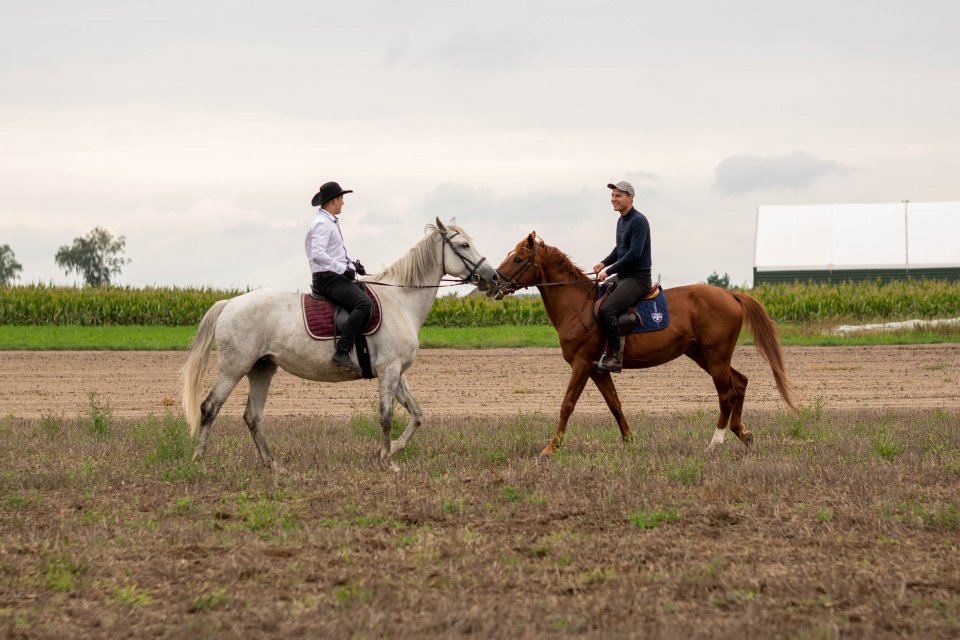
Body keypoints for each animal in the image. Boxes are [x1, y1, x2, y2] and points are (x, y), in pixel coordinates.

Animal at [181, 218, 498, 472]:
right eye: (464, 245)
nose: (493, 277)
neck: (401, 301)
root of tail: (229, 303)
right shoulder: (389, 371)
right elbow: (386, 416)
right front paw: (388, 461)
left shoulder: (396, 373)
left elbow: (417, 414)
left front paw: (390, 451)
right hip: (234, 368)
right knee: (210, 407)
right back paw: (200, 461)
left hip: (262, 369)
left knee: (252, 416)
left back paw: (273, 464)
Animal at [492, 232, 800, 458]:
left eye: (518, 258)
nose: (493, 280)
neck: (577, 305)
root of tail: (730, 295)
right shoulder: (597, 369)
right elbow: (615, 404)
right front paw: (630, 440)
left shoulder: (581, 364)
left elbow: (567, 404)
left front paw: (550, 448)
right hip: (703, 355)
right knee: (740, 383)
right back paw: (742, 433)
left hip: (716, 357)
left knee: (726, 394)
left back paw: (715, 442)